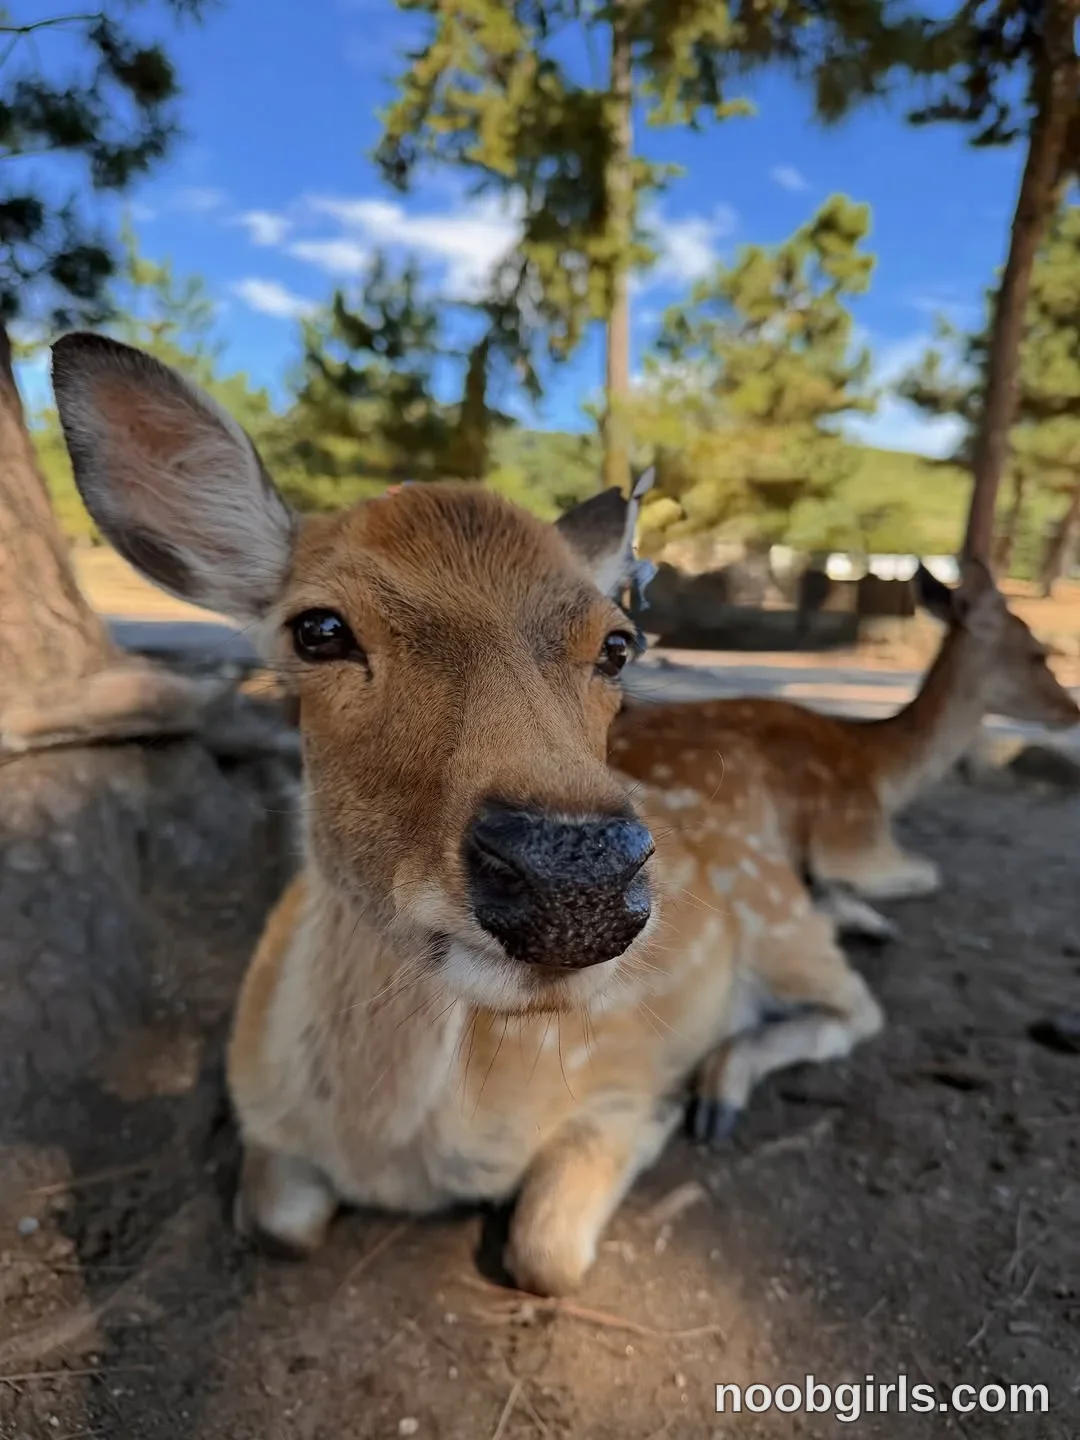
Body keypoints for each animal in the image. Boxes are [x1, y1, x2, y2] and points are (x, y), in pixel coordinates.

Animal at [51, 333, 884, 1298]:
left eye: (618, 644)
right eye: (318, 629)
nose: (575, 877)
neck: (393, 1155)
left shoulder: (619, 1084)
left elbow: (546, 1252)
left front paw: (679, 1107)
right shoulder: (255, 1103)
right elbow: (278, 1222)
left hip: (772, 917)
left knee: (857, 1004)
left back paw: (727, 1077)